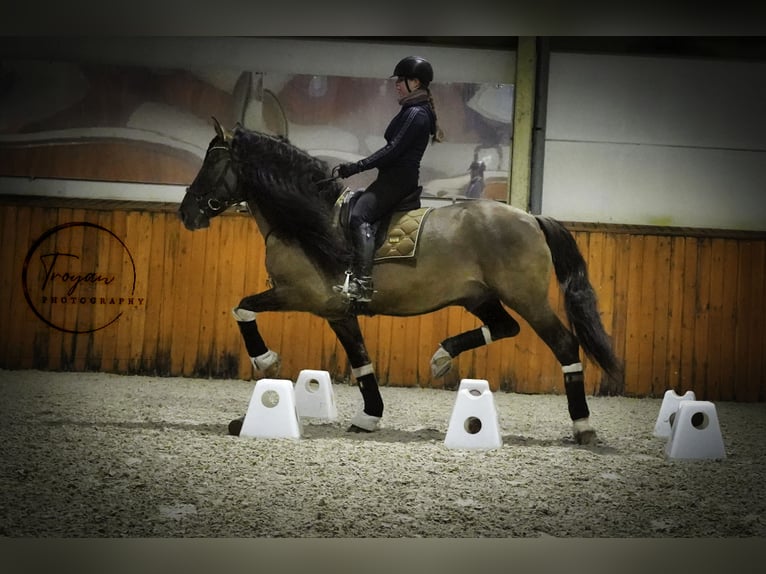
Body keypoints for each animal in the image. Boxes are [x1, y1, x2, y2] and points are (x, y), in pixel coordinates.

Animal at [180, 119, 624, 448]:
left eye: (210, 164)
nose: (187, 213)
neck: (310, 220)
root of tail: (531, 217)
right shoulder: (337, 311)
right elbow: (361, 362)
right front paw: (368, 417)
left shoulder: (301, 295)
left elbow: (242, 306)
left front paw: (265, 360)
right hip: (478, 296)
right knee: (503, 326)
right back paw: (442, 356)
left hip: (527, 298)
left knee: (564, 344)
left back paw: (583, 427)